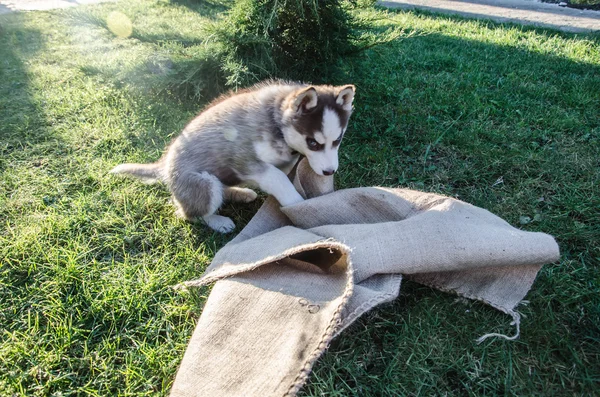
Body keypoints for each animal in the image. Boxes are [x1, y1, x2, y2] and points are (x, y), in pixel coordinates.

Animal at [110, 82, 354, 234]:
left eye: (338, 140)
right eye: (313, 143)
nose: (330, 172)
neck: (275, 122)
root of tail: (164, 166)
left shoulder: (286, 159)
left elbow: (283, 173)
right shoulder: (244, 158)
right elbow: (277, 178)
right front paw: (298, 205)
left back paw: (241, 193)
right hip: (203, 183)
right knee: (188, 212)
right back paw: (218, 221)